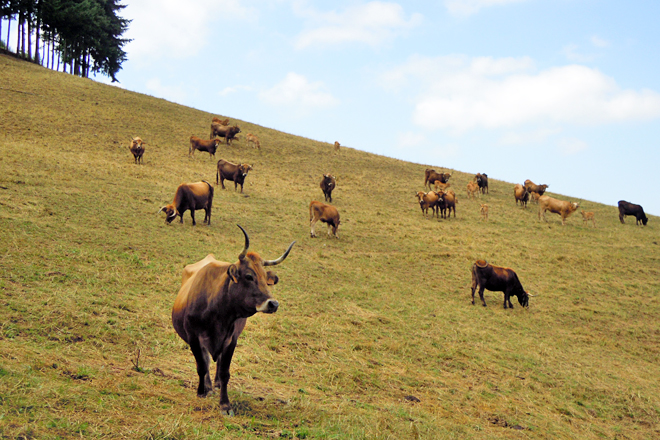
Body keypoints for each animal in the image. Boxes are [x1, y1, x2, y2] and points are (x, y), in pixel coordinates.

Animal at [172, 225, 295, 415]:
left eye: (265, 279)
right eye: (249, 276)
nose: (273, 304)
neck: (217, 313)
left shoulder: (231, 340)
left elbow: (224, 372)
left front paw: (225, 404)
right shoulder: (193, 338)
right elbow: (202, 366)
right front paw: (201, 392)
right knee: (206, 361)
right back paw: (208, 387)